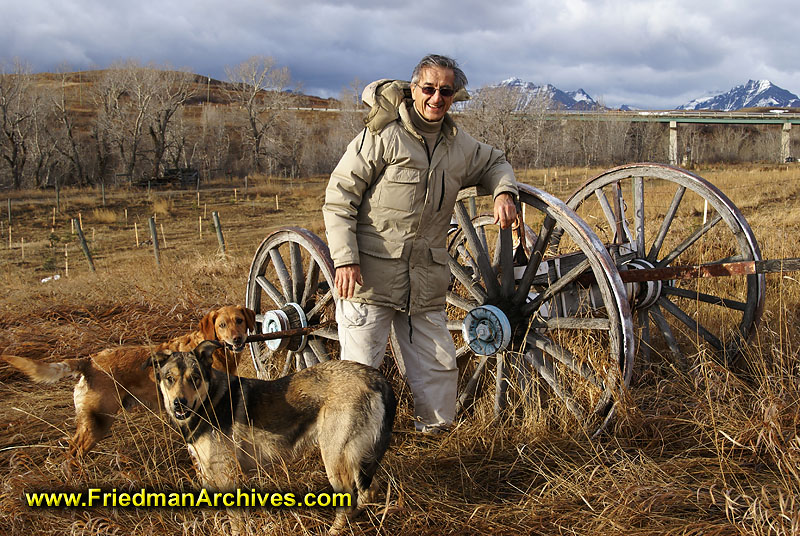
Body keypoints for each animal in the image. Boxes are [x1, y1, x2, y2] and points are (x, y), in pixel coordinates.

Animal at [1, 306, 255, 456]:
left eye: (239, 320)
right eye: (221, 325)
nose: (237, 339)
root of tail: (89, 361)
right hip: (98, 422)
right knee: (74, 451)